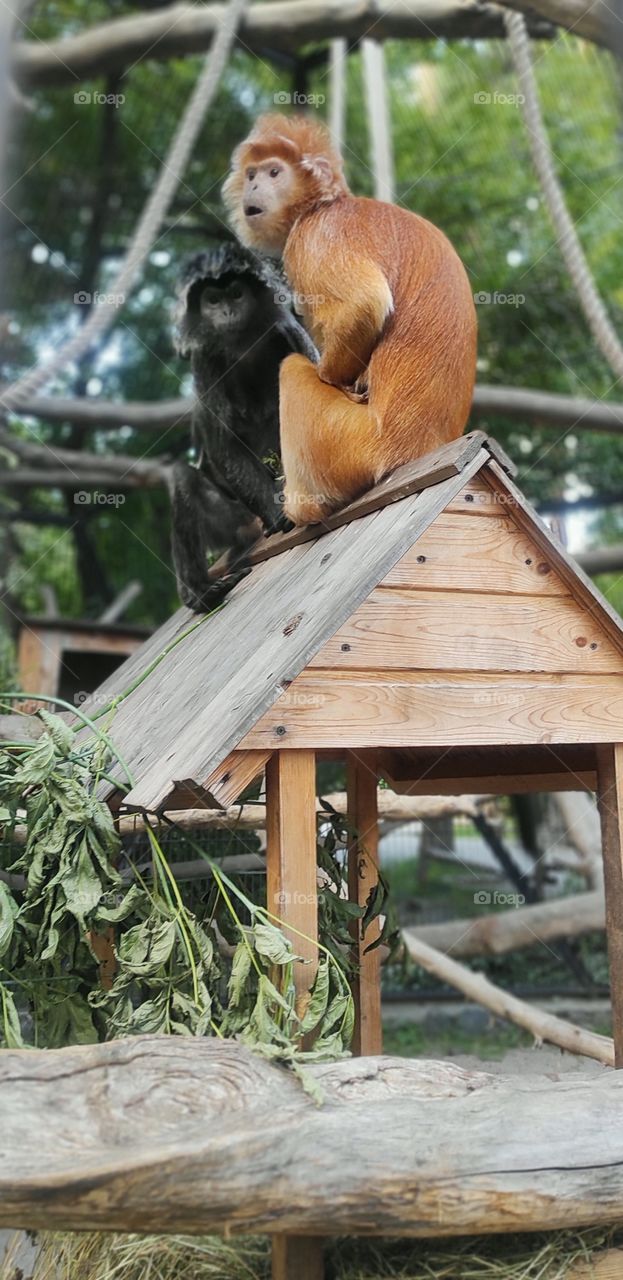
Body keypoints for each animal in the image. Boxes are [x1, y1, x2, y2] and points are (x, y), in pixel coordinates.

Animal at [169, 243, 317, 612]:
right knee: (181, 477)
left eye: (236, 294)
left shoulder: (289, 330)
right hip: (235, 521)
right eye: (212, 300)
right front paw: (279, 515)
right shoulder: (204, 361)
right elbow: (224, 446)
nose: (226, 311)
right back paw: (200, 594)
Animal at [222, 114, 477, 527]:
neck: (324, 203)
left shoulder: (313, 236)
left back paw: (303, 507)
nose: (255, 186)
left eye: (274, 172)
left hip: (350, 445)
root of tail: (413, 449)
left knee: (291, 369)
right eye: (252, 175)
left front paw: (332, 376)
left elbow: (365, 303)